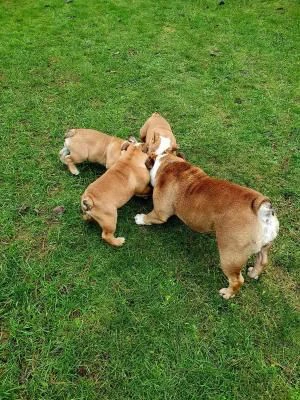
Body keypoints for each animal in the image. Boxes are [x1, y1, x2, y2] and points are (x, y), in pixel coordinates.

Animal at [135, 155, 280, 298]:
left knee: (237, 280)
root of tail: (262, 210)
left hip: (230, 256)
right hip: (264, 246)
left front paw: (140, 218)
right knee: (263, 261)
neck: (168, 163)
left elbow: (150, 217)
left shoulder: (160, 213)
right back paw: (253, 273)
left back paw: (227, 293)